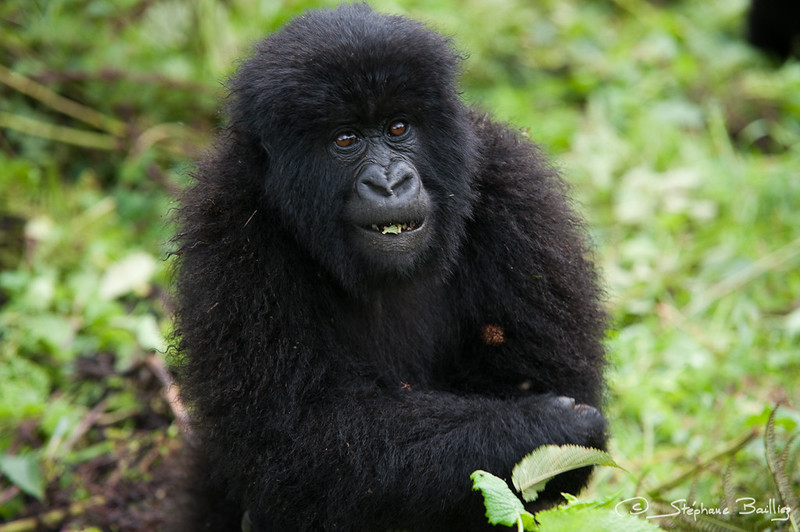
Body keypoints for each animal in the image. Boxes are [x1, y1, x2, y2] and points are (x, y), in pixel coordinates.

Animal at [170, 5, 608, 532]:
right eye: (346, 139)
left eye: (399, 128)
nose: (390, 181)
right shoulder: (230, 233)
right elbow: (301, 443)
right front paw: (542, 427)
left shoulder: (518, 191)